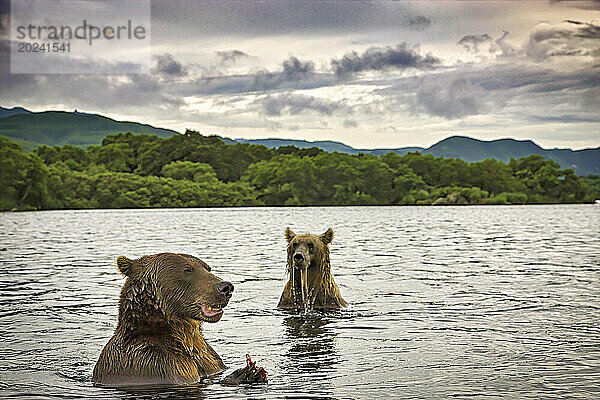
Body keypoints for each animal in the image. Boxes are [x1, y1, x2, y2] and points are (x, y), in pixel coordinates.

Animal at [92, 253, 266, 388]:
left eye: (207, 268)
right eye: (187, 269)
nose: (226, 287)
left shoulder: (209, 358)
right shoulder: (155, 364)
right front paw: (244, 374)